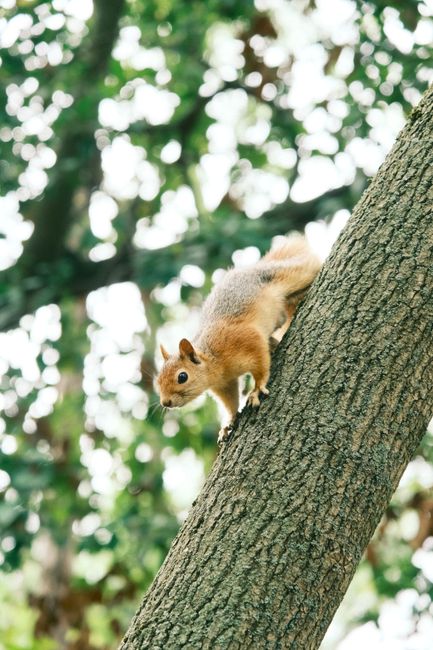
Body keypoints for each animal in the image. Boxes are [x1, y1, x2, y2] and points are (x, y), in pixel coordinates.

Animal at [156, 234, 321, 444]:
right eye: (157, 381)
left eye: (182, 377)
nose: (166, 402)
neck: (214, 361)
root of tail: (256, 266)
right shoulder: (224, 384)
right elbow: (230, 401)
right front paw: (228, 422)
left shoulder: (244, 339)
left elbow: (260, 363)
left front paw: (257, 389)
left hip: (289, 274)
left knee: (307, 268)